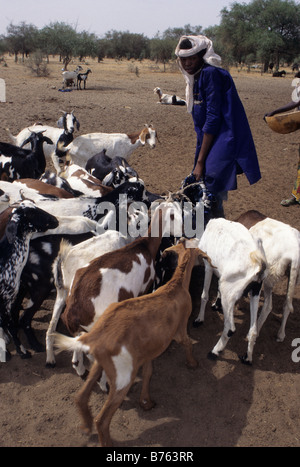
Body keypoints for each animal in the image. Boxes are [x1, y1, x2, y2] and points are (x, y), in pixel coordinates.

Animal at [54, 239, 209, 448]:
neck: (175, 286)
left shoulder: (150, 349)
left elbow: (149, 372)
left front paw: (146, 402)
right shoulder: (180, 330)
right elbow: (187, 343)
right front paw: (193, 363)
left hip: (101, 363)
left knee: (81, 396)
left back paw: (86, 425)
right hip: (123, 375)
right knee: (102, 419)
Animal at [193, 218, 266, 366]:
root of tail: (258, 265)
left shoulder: (208, 266)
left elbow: (204, 295)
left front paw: (199, 319)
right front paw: (216, 305)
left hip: (229, 291)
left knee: (230, 328)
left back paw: (214, 351)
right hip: (255, 292)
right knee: (253, 330)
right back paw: (247, 358)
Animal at [237, 212, 300, 344]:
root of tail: (295, 253)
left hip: (268, 277)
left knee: (268, 306)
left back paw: (255, 331)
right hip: (293, 277)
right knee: (287, 305)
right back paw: (280, 334)